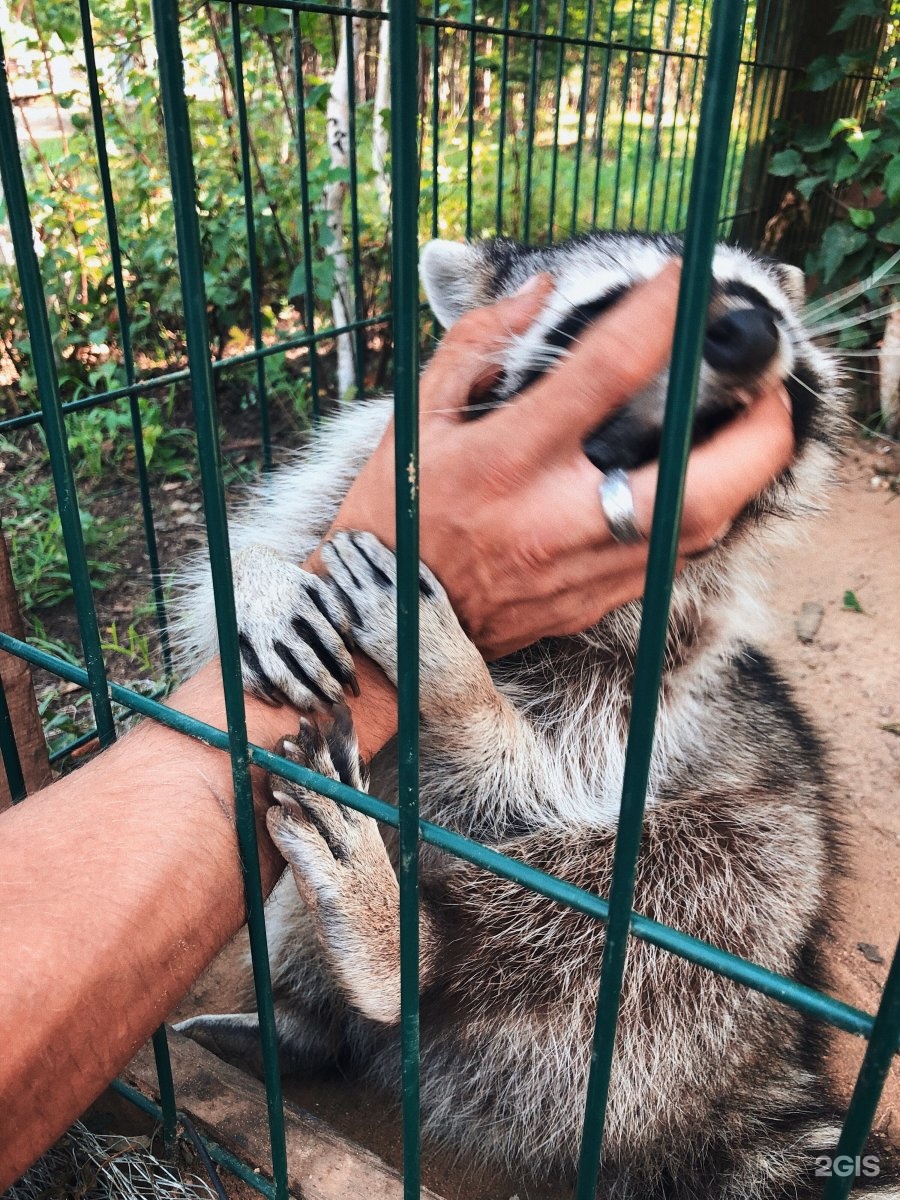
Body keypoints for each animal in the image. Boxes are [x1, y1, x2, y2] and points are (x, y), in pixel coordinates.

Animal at [172, 234, 897, 1200]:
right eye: (619, 305)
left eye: (762, 302)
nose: (749, 331)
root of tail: (750, 1071)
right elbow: (262, 552)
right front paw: (257, 576)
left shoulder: (658, 680)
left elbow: (546, 789)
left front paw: (464, 691)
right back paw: (305, 1022)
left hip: (759, 887)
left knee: (650, 898)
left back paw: (410, 947)